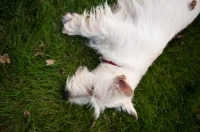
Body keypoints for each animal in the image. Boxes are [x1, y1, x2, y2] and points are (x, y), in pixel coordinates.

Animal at [61, 0, 199, 119]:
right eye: (93, 88)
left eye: (92, 95)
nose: (66, 95)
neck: (124, 64)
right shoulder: (108, 27)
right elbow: (86, 28)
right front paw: (69, 24)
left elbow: (87, 27)